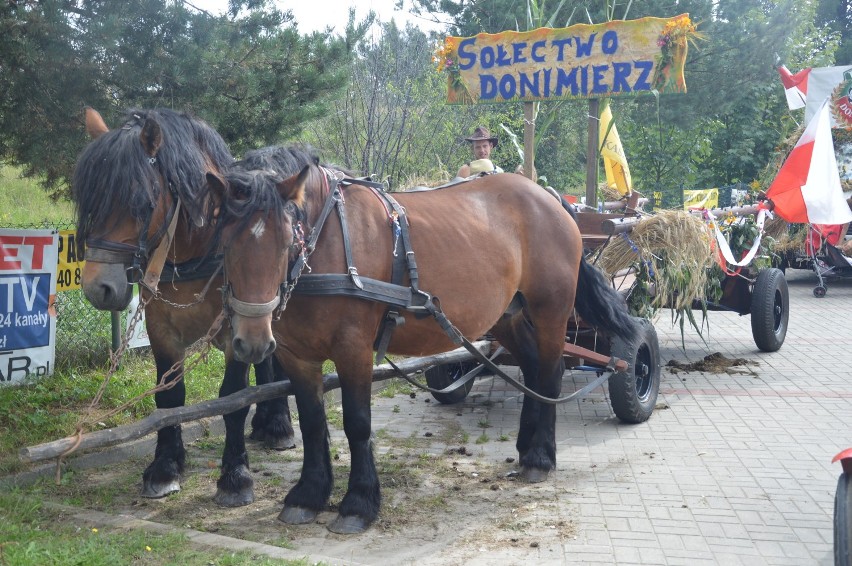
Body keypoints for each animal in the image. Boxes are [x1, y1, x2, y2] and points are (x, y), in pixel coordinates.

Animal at [71, 108, 296, 508]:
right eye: (90, 200)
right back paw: (265, 423)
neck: (198, 249)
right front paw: (165, 467)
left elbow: (232, 399)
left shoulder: (235, 330)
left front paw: (235, 476)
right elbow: (169, 398)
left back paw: (279, 424)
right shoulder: (162, 331)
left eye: (140, 202)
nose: (100, 288)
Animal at [208, 156, 640, 536]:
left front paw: (358, 504)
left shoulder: (353, 350)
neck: (328, 241)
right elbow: (313, 424)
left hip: (551, 310)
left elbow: (357, 424)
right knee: (533, 370)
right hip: (507, 316)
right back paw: (526, 445)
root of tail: (551, 200)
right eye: (224, 244)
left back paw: (540, 457)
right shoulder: (297, 356)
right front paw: (307, 496)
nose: (250, 340)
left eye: (286, 240)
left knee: (550, 374)